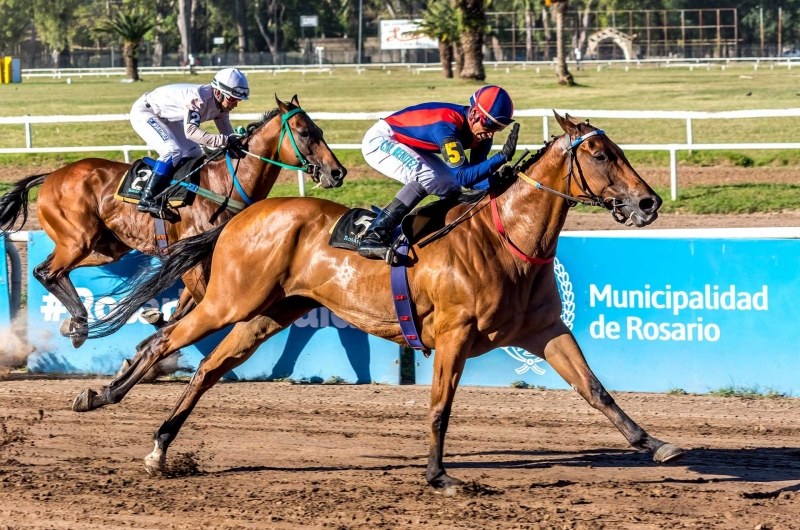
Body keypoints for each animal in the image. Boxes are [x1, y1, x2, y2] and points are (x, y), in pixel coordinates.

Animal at [75, 112, 684, 490]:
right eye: (601, 155)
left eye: (620, 150)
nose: (648, 203)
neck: (504, 237)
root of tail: (240, 216)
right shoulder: (454, 335)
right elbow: (440, 407)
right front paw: (439, 476)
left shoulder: (545, 331)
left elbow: (596, 390)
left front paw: (656, 444)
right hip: (229, 300)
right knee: (163, 341)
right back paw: (104, 397)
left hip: (268, 314)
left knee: (207, 370)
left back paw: (159, 445)